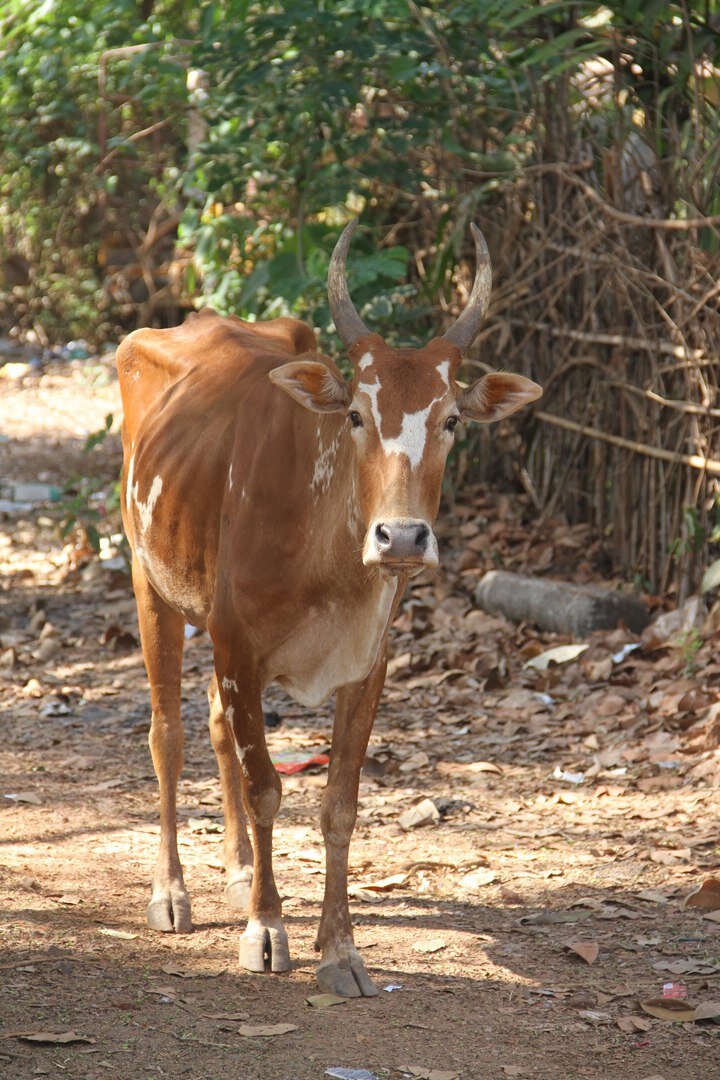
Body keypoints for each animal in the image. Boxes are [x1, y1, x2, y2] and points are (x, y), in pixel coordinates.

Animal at [115, 219, 537, 993]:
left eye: (452, 420)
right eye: (356, 416)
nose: (402, 536)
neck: (329, 562)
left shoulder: (366, 667)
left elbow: (339, 805)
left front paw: (339, 948)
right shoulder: (237, 647)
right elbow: (264, 789)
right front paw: (267, 929)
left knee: (215, 729)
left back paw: (238, 869)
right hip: (147, 579)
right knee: (169, 735)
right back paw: (173, 890)